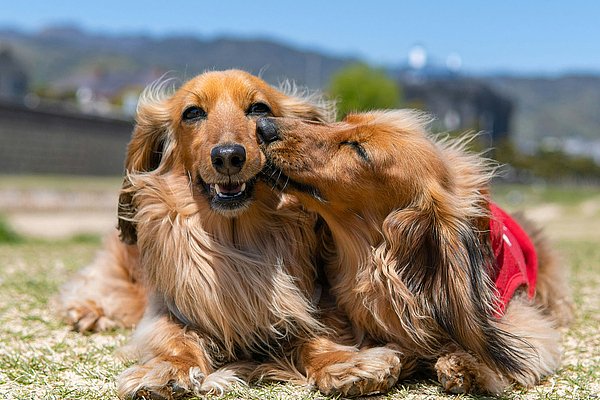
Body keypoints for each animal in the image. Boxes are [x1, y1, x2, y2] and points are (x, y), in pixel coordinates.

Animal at [59, 70, 404, 398]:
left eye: (258, 109)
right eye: (193, 113)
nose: (228, 156)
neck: (235, 239)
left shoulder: (310, 305)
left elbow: (316, 335)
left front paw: (344, 364)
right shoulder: (168, 311)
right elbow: (173, 339)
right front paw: (166, 370)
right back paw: (87, 310)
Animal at [255, 111, 576, 396]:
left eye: (359, 149)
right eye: (342, 121)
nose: (263, 125)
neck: (374, 265)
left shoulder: (517, 317)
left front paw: (468, 366)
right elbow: (310, 340)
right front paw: (346, 367)